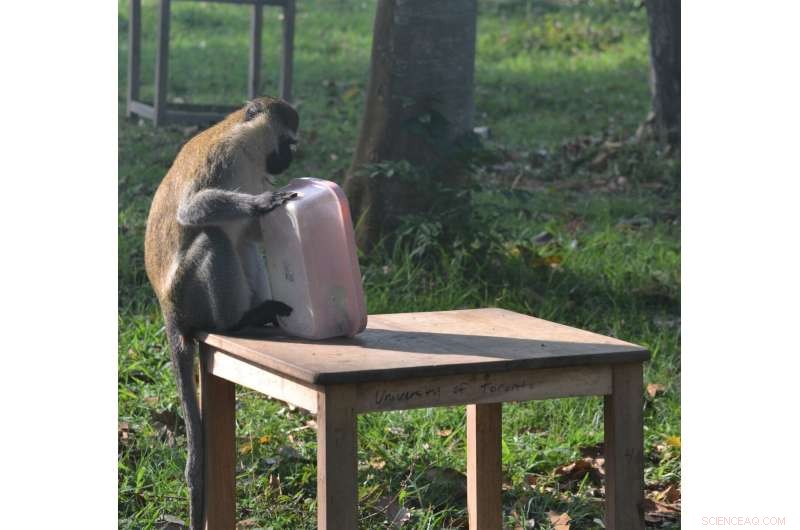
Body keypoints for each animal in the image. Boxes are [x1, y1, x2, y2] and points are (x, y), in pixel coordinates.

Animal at [144, 96, 299, 530]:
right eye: (289, 140)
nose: (291, 158)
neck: (244, 144)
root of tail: (167, 308)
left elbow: (255, 234)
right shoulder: (221, 158)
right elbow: (191, 211)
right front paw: (260, 203)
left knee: (241, 242)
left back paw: (262, 316)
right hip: (188, 294)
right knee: (214, 236)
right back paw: (235, 322)